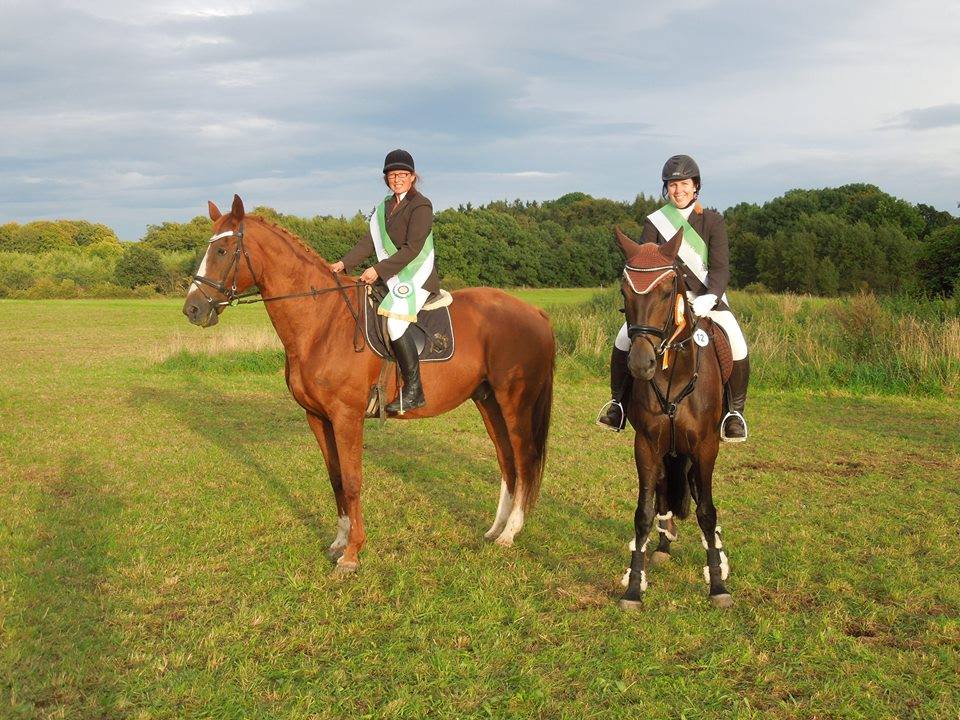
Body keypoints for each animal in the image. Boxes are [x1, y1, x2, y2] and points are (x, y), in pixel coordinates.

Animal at [182, 195, 555, 573]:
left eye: (223, 250)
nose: (193, 309)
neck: (323, 321)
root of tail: (536, 313)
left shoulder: (346, 417)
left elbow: (352, 481)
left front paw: (351, 554)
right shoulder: (318, 417)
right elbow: (335, 479)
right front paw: (338, 542)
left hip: (515, 402)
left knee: (524, 459)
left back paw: (510, 533)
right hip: (488, 401)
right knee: (507, 461)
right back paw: (495, 530)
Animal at [613, 225, 733, 609]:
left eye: (668, 291)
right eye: (624, 291)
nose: (641, 364)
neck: (674, 375)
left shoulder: (706, 446)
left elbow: (706, 511)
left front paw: (717, 584)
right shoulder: (647, 444)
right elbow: (644, 512)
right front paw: (633, 587)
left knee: (697, 494)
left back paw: (718, 555)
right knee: (666, 494)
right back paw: (663, 544)